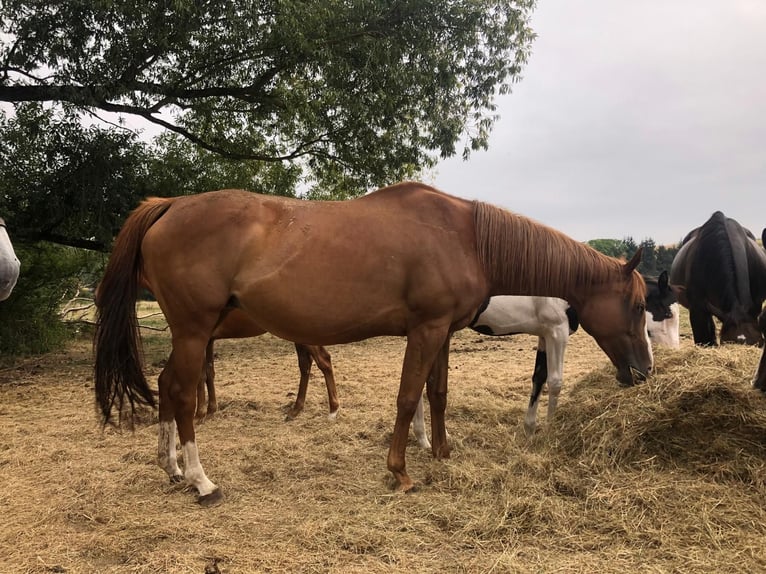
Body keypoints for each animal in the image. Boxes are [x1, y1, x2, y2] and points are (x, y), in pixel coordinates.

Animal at [200, 308, 338, 420]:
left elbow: (201, 376)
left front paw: (200, 415)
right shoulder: (209, 341)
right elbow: (209, 373)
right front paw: (210, 410)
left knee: (323, 360)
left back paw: (333, 410)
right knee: (306, 365)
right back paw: (296, 410)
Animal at [414, 280, 680, 446]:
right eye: (666, 312)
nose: (650, 367)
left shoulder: (544, 336)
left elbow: (539, 378)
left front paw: (530, 429)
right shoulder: (557, 333)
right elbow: (555, 382)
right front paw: (551, 431)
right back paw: (426, 439)